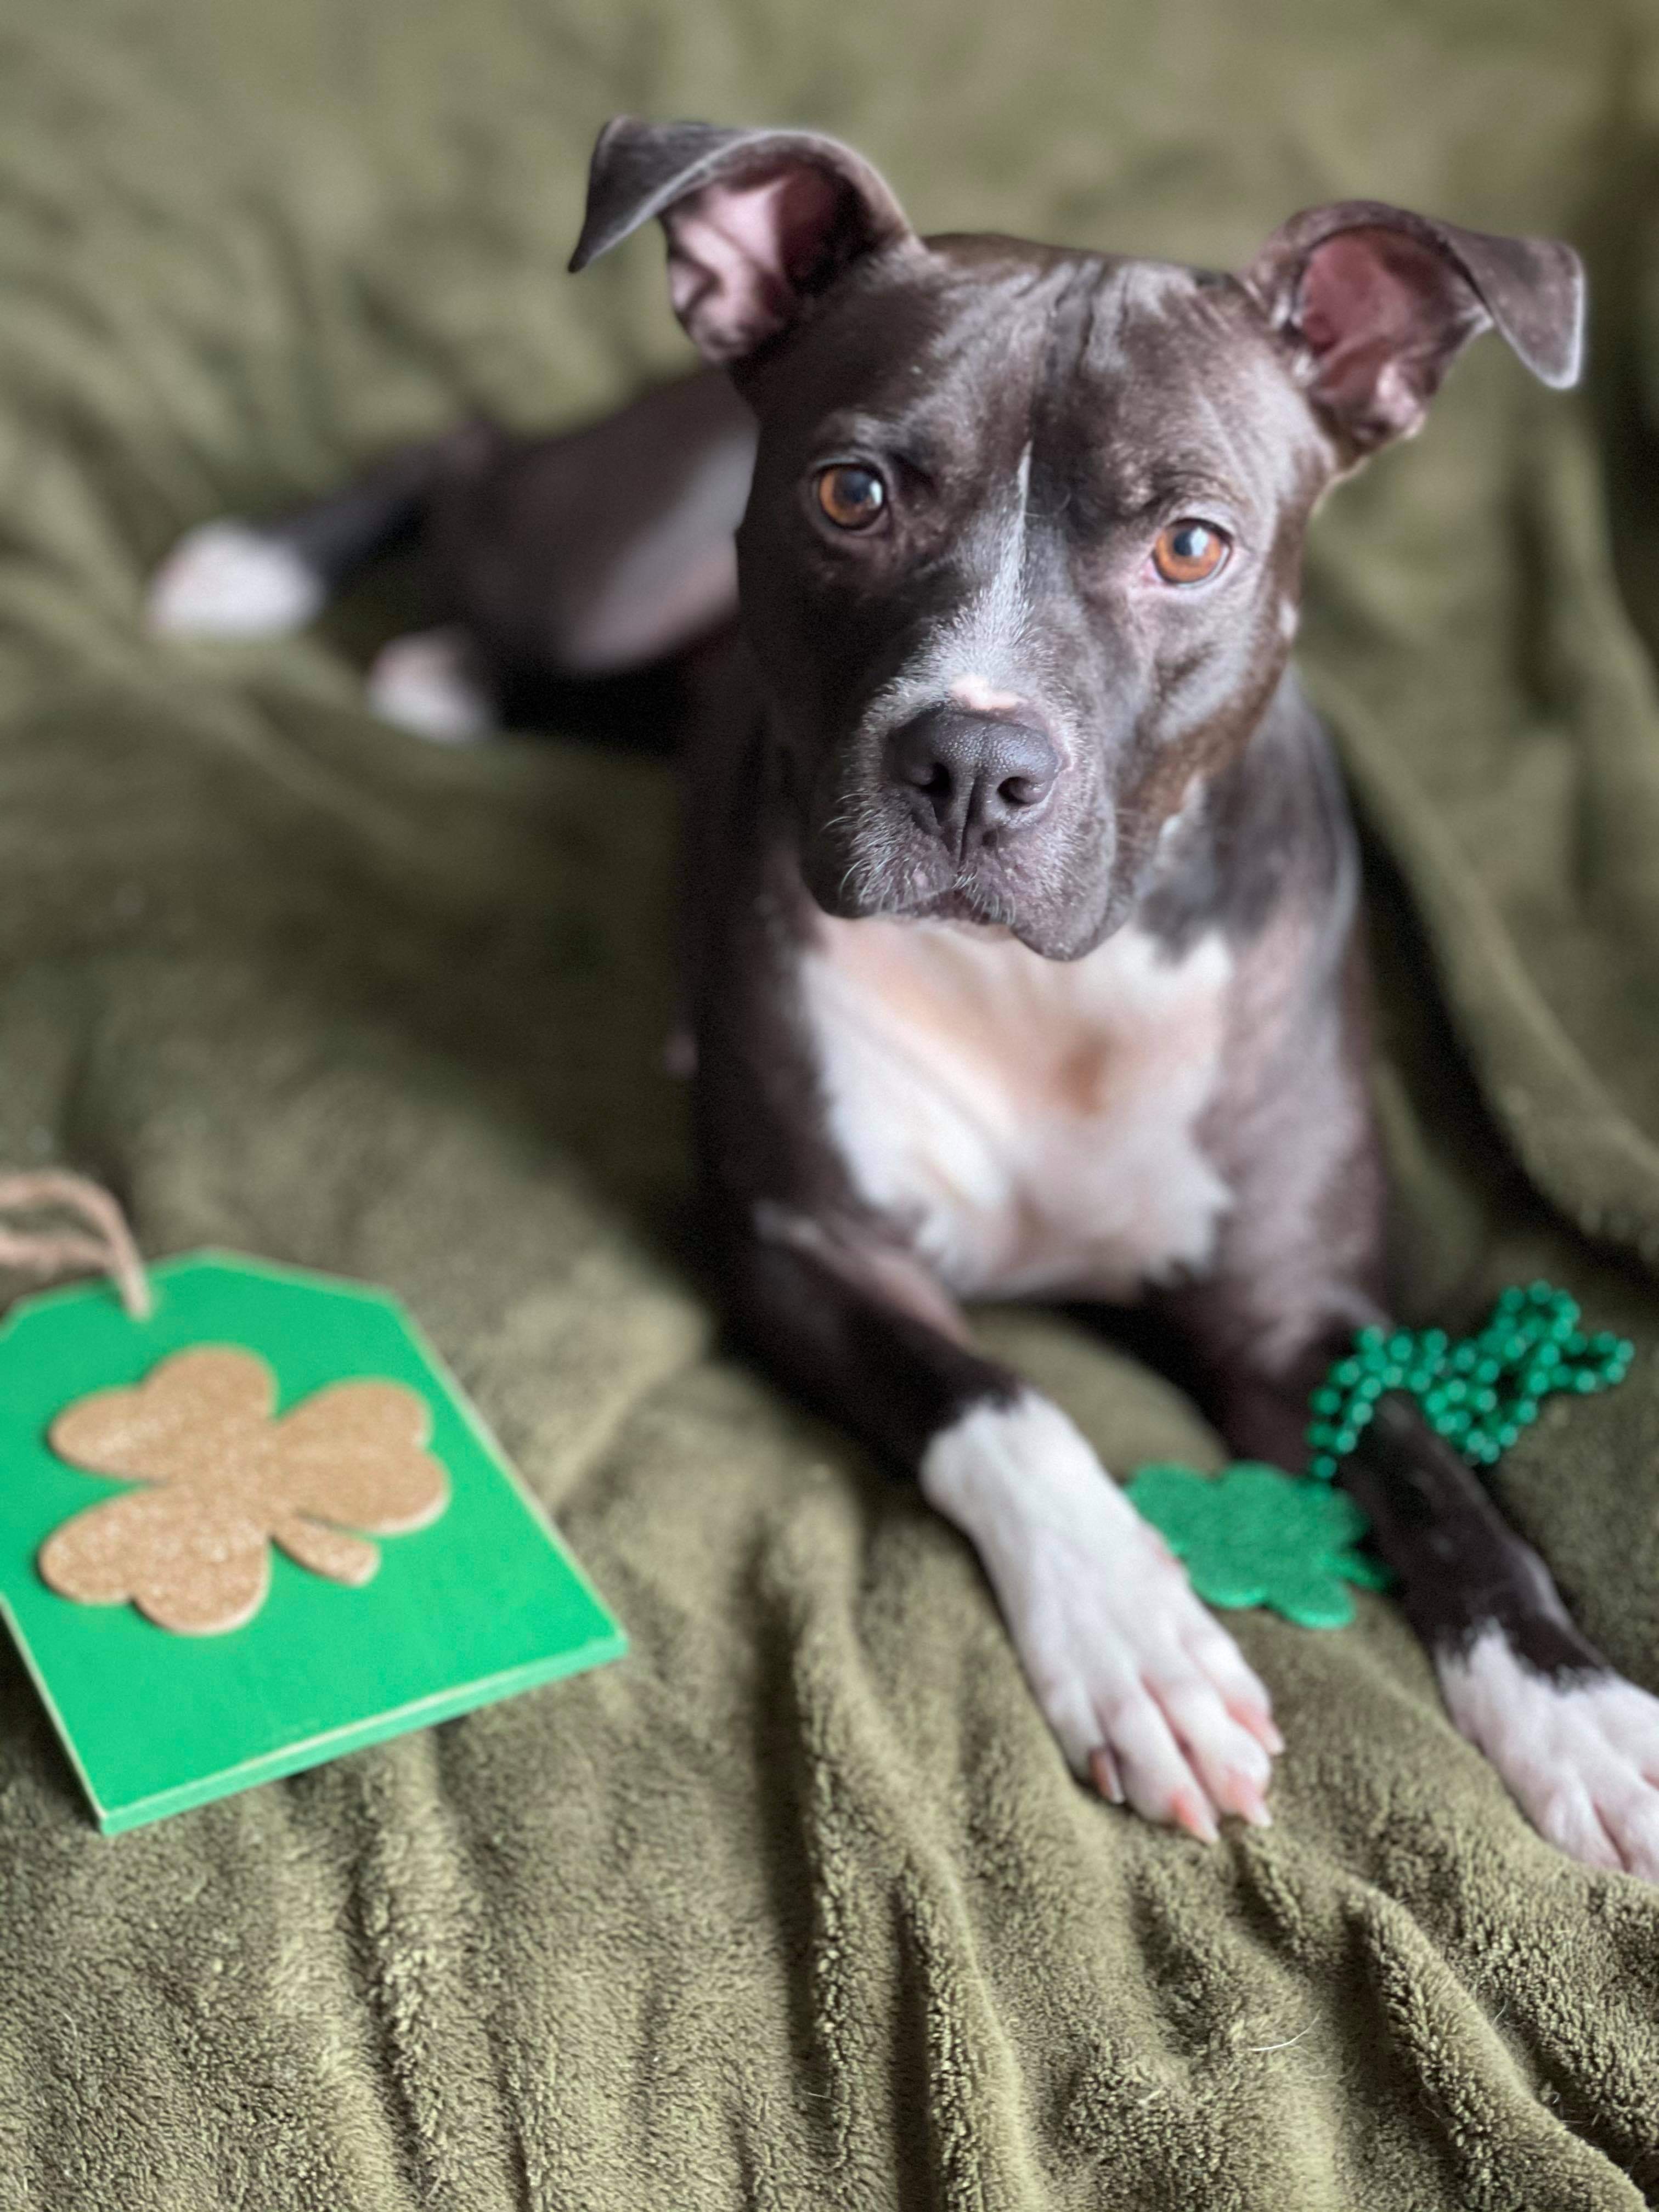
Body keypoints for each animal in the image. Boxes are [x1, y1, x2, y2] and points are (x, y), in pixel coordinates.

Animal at [146, 112, 1659, 1876]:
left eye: (1192, 544)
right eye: (852, 492)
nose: (973, 764)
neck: (1057, 985)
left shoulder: (1303, 1318)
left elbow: (1443, 1488)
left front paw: (1581, 1710)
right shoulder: (811, 1250)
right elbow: (1004, 1399)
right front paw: (1135, 1635)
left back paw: (432, 670)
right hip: (596, 562)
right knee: (464, 457)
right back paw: (260, 573)